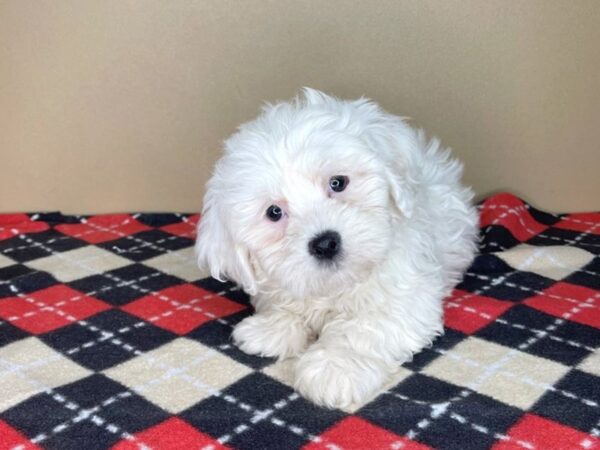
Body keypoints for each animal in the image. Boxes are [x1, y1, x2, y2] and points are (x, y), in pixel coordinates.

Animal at [197, 88, 478, 408]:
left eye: (338, 182)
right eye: (274, 213)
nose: (325, 243)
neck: (335, 286)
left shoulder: (406, 298)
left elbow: (362, 328)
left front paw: (333, 368)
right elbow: (285, 305)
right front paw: (269, 329)